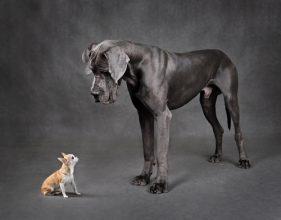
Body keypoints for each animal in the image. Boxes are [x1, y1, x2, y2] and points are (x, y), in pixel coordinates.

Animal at [81, 40, 249, 194]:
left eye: (105, 71)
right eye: (92, 70)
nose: (94, 94)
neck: (138, 65)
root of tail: (224, 54)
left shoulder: (162, 115)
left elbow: (161, 153)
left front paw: (160, 184)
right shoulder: (144, 115)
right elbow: (148, 150)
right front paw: (144, 177)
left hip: (231, 100)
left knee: (238, 133)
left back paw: (243, 160)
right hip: (207, 104)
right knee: (218, 129)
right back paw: (217, 156)